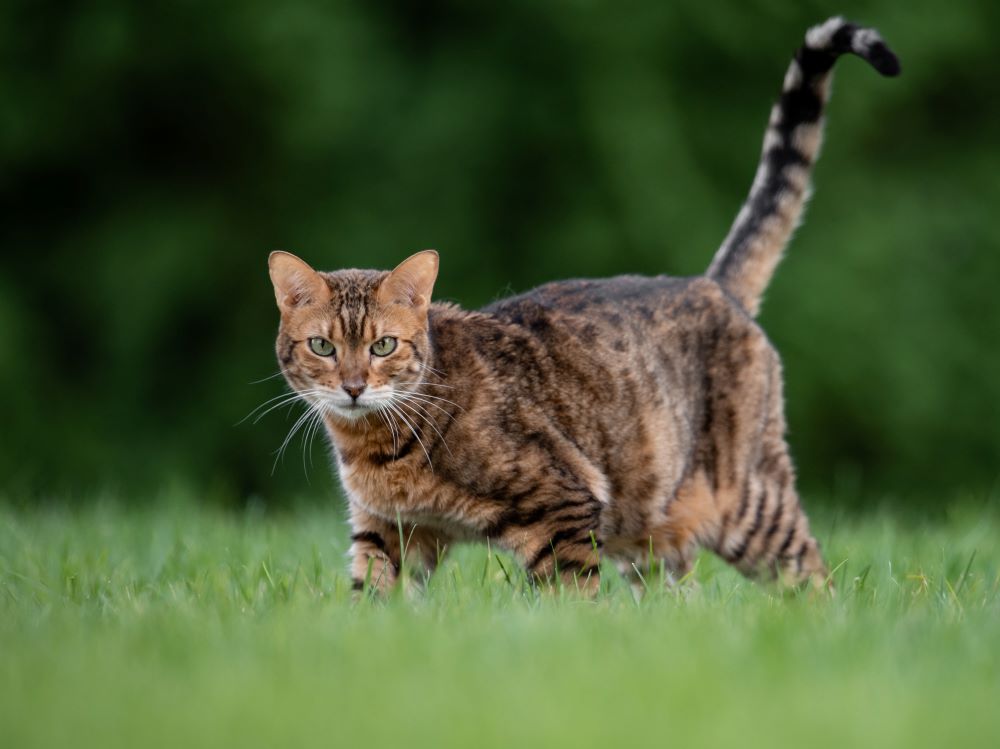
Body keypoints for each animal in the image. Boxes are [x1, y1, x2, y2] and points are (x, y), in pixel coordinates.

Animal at [266, 14, 900, 592]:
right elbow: (373, 600)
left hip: (748, 502)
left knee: (814, 576)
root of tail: (711, 283)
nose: (353, 387)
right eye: (323, 346)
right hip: (652, 531)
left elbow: (571, 602)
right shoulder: (386, 531)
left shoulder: (563, 505)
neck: (377, 449)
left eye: (383, 346)